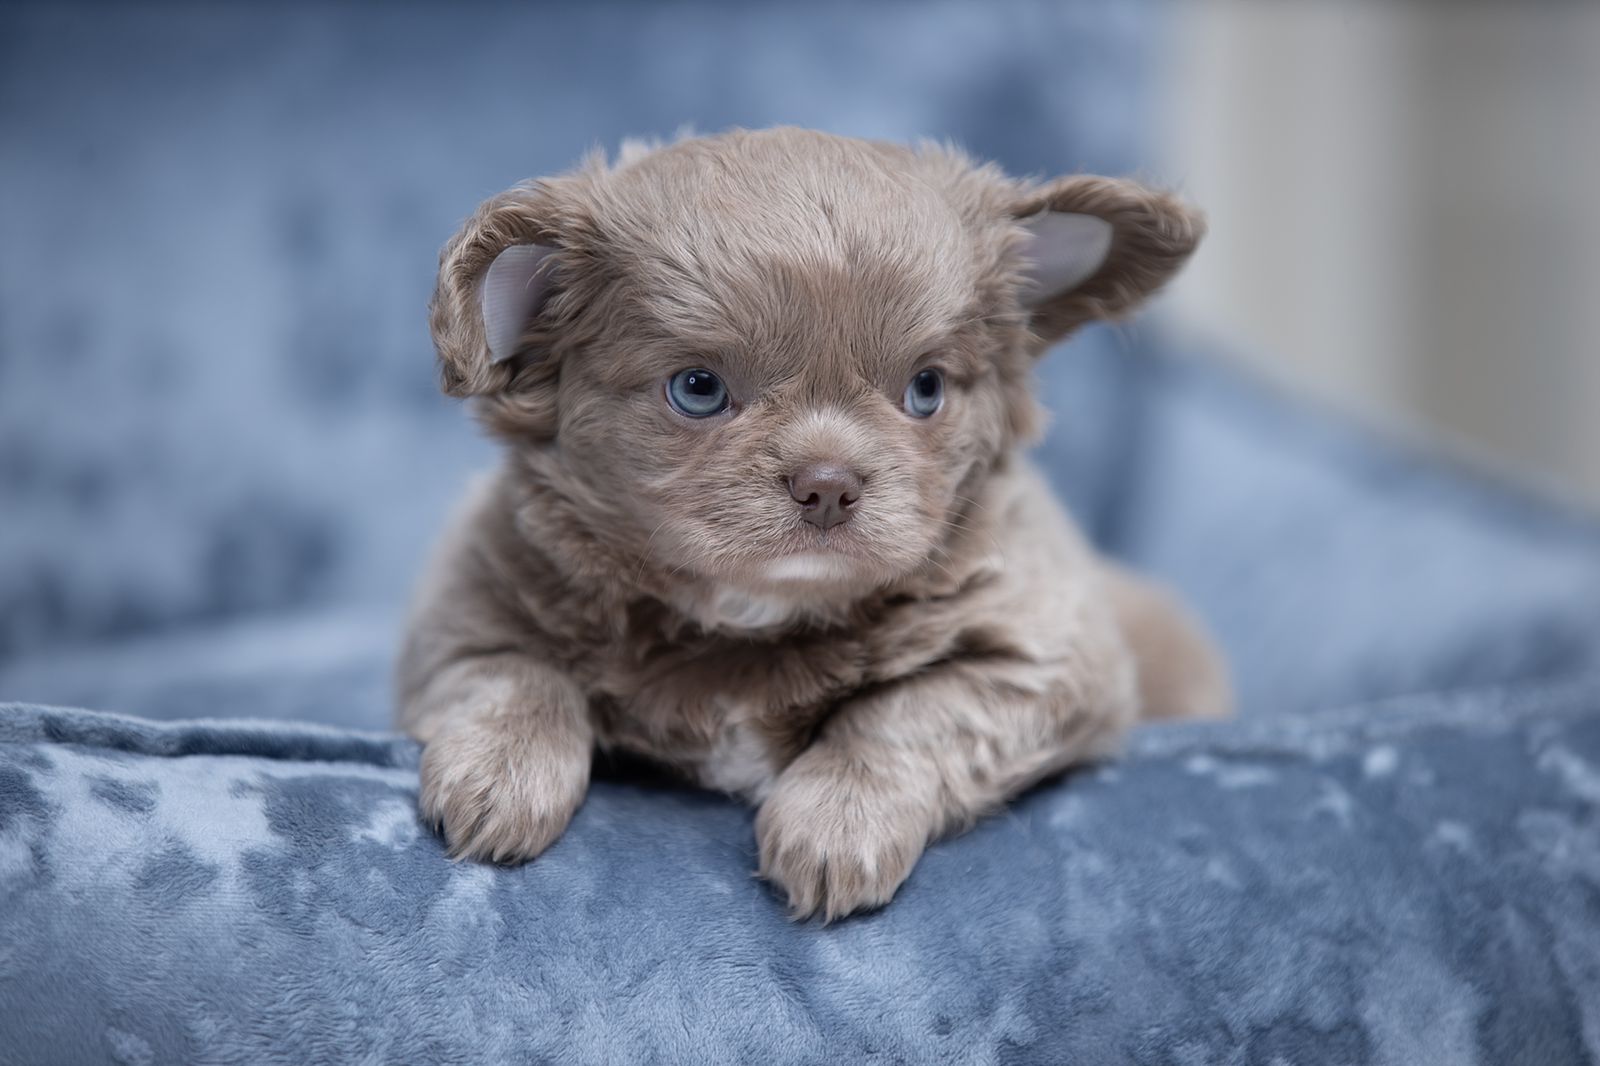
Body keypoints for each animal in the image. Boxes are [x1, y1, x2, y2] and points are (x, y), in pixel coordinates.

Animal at [396, 128, 1222, 915]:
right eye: (698, 389)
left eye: (926, 389)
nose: (828, 485)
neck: (757, 615)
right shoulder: (459, 612)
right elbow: (515, 672)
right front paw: (500, 773)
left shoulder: (1049, 657)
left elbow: (908, 711)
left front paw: (837, 822)